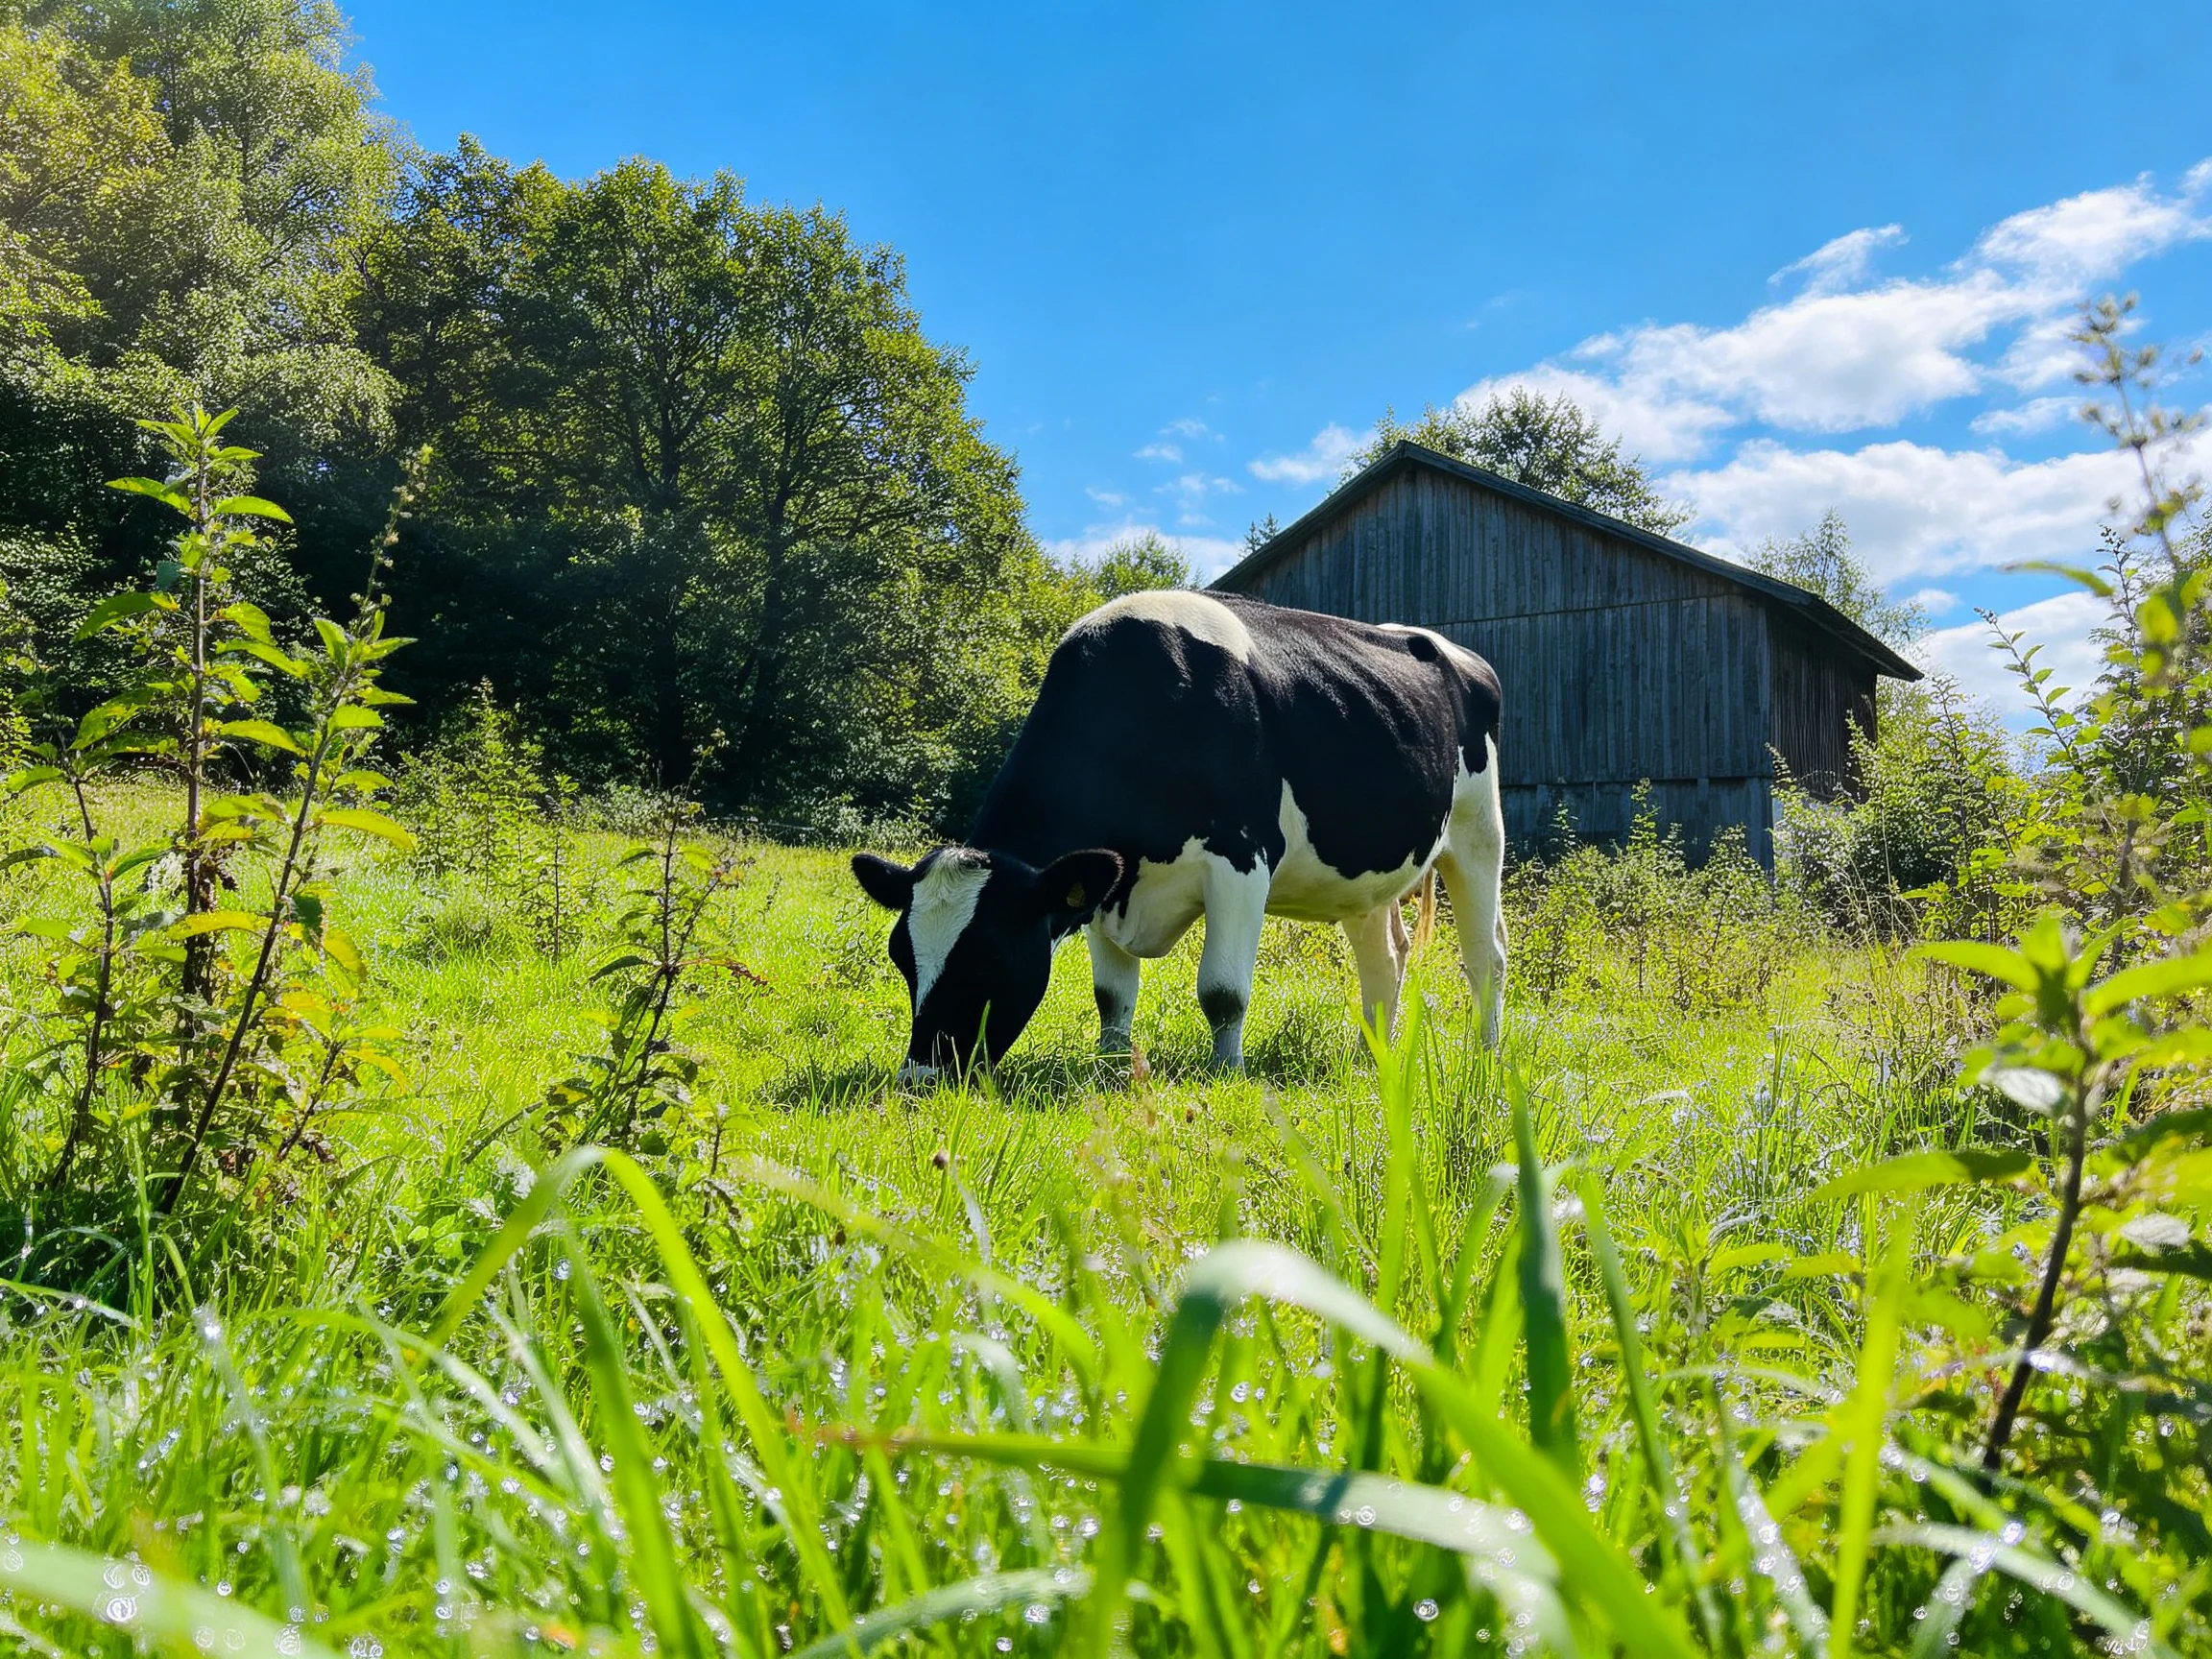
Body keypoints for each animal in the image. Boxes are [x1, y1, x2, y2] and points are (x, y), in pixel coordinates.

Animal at [852, 590, 1507, 1082]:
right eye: (901, 956)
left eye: (989, 954)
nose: (919, 1077)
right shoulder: (1108, 883)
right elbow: (1112, 997)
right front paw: (1111, 1065)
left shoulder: (1242, 858)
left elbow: (1222, 991)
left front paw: (1225, 1073)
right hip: (1364, 877)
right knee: (1385, 958)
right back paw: (1375, 1059)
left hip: (1479, 832)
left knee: (1485, 956)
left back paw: (1487, 1057)